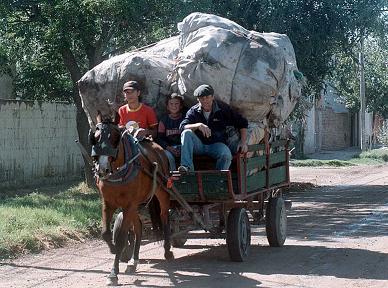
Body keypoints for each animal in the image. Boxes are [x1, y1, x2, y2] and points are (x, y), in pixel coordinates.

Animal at [90, 112, 172, 286]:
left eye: (115, 138)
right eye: (96, 137)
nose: (102, 169)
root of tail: (156, 146)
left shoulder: (129, 205)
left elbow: (122, 238)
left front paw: (113, 273)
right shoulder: (108, 204)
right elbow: (105, 233)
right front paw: (113, 248)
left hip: (161, 191)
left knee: (164, 216)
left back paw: (168, 250)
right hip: (136, 206)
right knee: (139, 228)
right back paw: (134, 262)